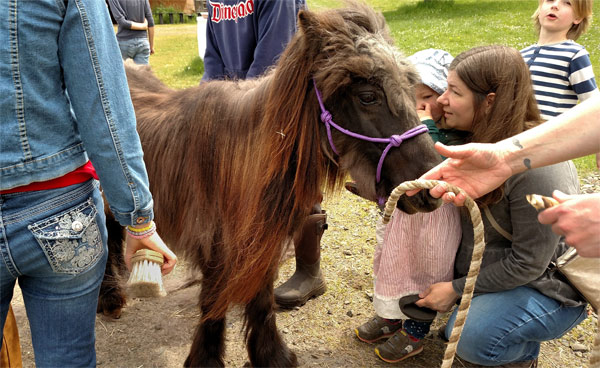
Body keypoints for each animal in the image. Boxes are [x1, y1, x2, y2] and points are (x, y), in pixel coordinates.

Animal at [101, 2, 442, 366]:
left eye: (409, 87)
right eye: (367, 96)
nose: (430, 190)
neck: (240, 163)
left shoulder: (263, 239)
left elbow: (261, 298)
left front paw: (271, 355)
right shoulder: (215, 244)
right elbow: (213, 300)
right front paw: (207, 358)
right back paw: (110, 298)